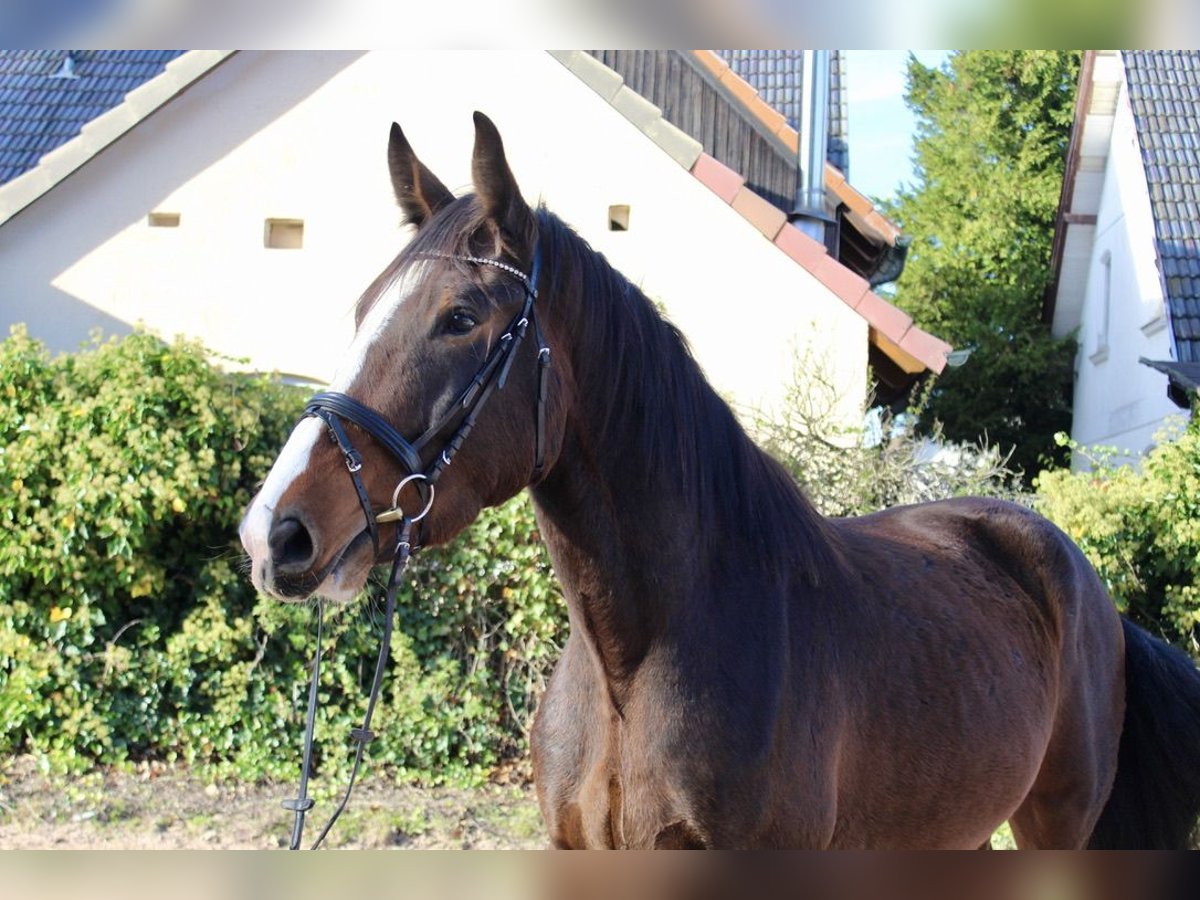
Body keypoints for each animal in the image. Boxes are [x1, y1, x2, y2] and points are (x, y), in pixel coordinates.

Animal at [238, 112, 1200, 854]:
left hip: (1056, 824)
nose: (275, 531)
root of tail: (1082, 583)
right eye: (363, 310)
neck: (638, 663)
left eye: (461, 318)